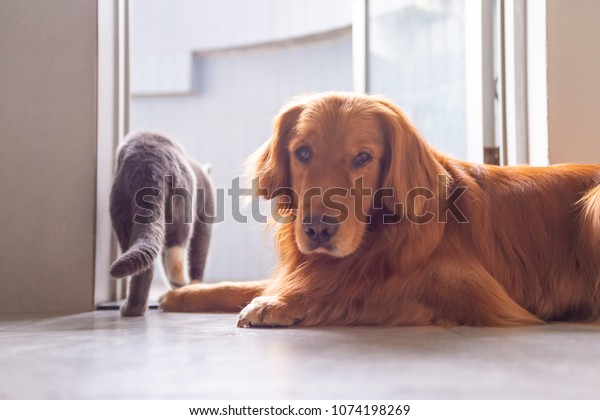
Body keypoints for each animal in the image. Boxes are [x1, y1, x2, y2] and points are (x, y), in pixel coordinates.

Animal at [109, 131, 214, 316]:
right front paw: (196, 287)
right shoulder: (205, 220)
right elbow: (198, 257)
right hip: (182, 207)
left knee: (145, 263)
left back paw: (132, 309)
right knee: (176, 255)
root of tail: (149, 165)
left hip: (122, 211)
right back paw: (179, 288)